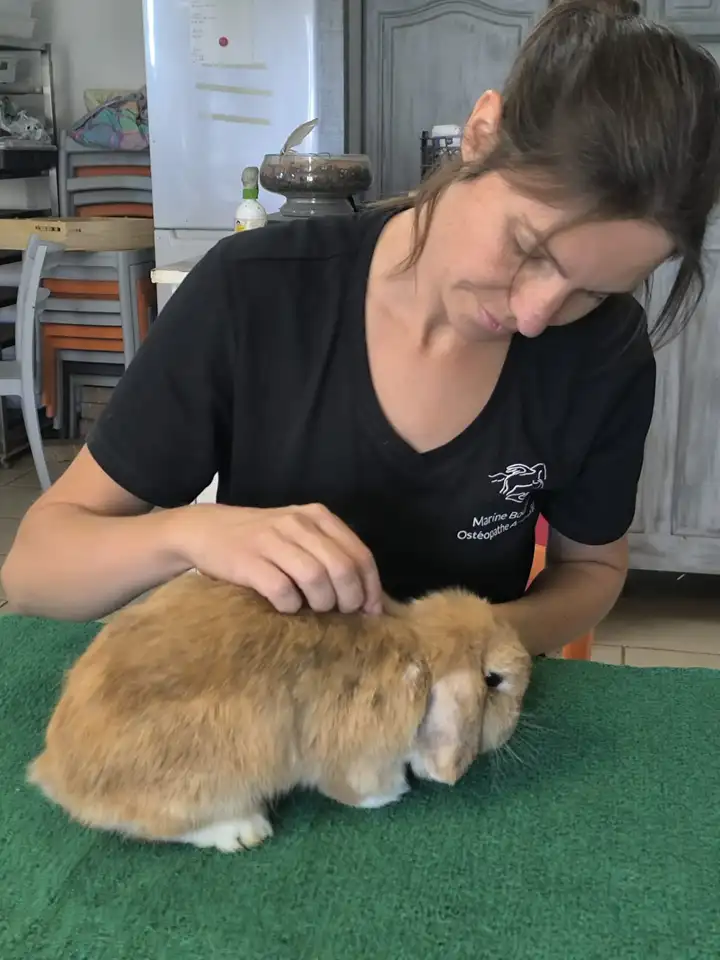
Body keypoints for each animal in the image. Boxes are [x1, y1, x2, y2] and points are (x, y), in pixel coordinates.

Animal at [28, 572, 531, 853]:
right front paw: (391, 795)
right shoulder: (355, 754)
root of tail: (55, 773)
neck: (417, 649)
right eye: (494, 680)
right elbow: (356, 786)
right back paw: (240, 832)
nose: (513, 728)